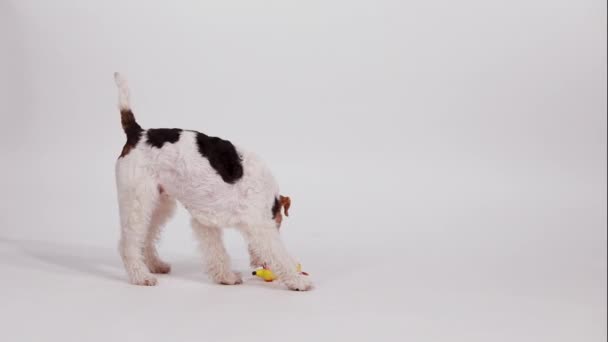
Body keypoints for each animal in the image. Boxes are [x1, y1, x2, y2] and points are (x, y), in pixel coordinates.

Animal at [114, 73, 314, 292]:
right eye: (278, 225)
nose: (260, 265)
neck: (268, 197)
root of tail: (137, 133)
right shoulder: (260, 225)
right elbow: (279, 253)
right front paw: (299, 280)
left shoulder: (205, 222)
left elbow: (216, 252)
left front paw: (226, 277)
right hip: (137, 200)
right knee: (128, 242)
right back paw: (141, 276)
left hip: (159, 203)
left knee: (147, 237)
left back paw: (156, 265)